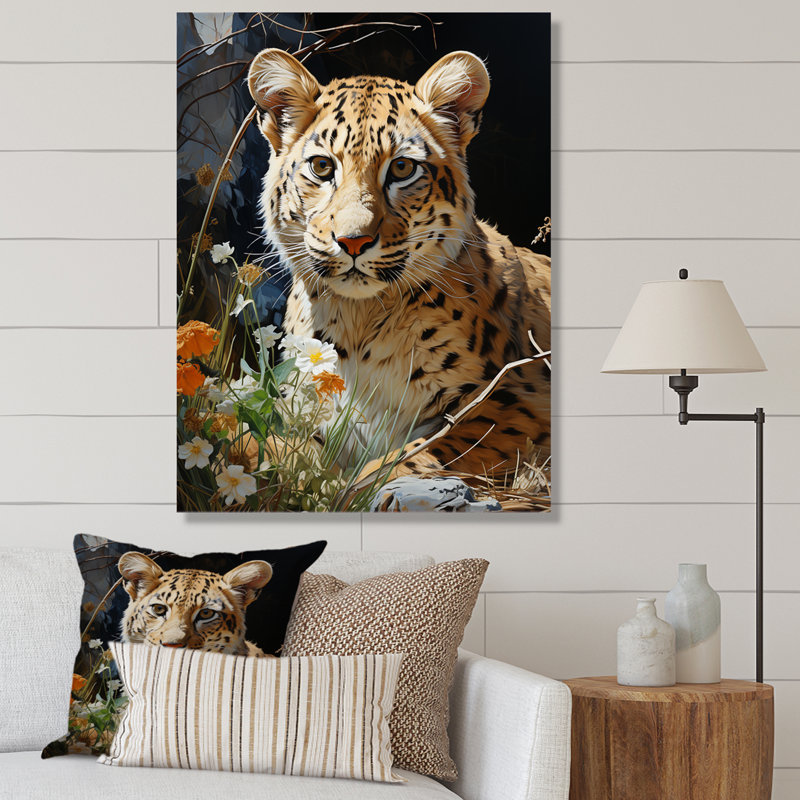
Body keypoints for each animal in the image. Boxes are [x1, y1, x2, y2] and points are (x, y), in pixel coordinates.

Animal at [247, 48, 550, 481]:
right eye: (322, 167)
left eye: (403, 168)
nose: (353, 241)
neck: (357, 322)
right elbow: (273, 446)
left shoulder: (518, 402)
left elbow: (415, 453)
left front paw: (361, 486)